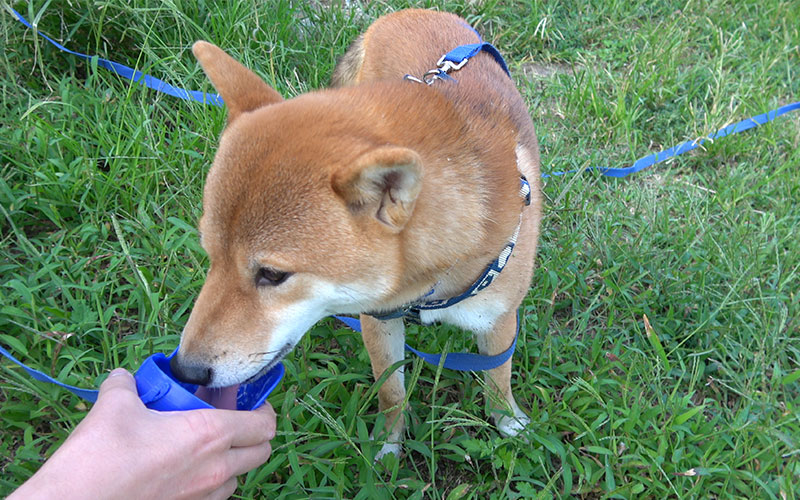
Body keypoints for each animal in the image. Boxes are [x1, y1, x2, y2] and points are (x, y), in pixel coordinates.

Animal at [170, 8, 544, 460]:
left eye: (272, 275)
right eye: (211, 255)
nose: (184, 370)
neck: (429, 284)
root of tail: (407, 12)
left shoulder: (500, 319)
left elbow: (498, 377)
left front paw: (510, 424)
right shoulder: (378, 318)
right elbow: (391, 392)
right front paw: (387, 448)